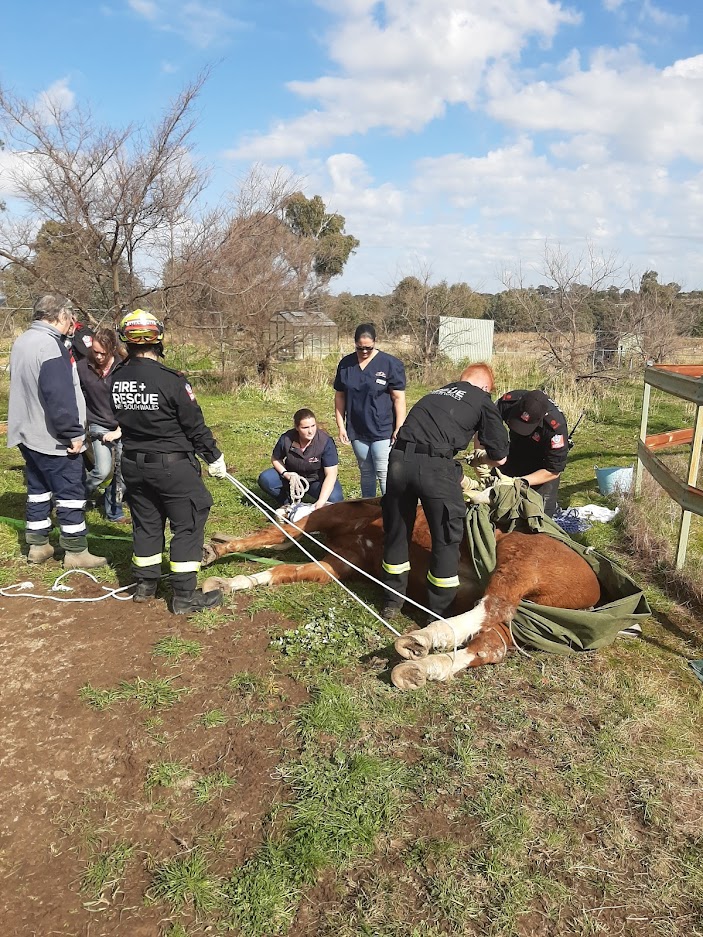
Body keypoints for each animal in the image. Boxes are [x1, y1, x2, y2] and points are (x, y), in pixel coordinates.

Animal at [202, 498, 600, 688]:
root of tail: (594, 589)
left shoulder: (318, 525)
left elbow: (273, 535)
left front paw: (216, 555)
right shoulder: (338, 564)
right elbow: (282, 570)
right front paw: (229, 582)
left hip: (519, 560)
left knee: (491, 607)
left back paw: (423, 640)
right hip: (517, 617)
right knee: (492, 642)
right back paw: (424, 668)